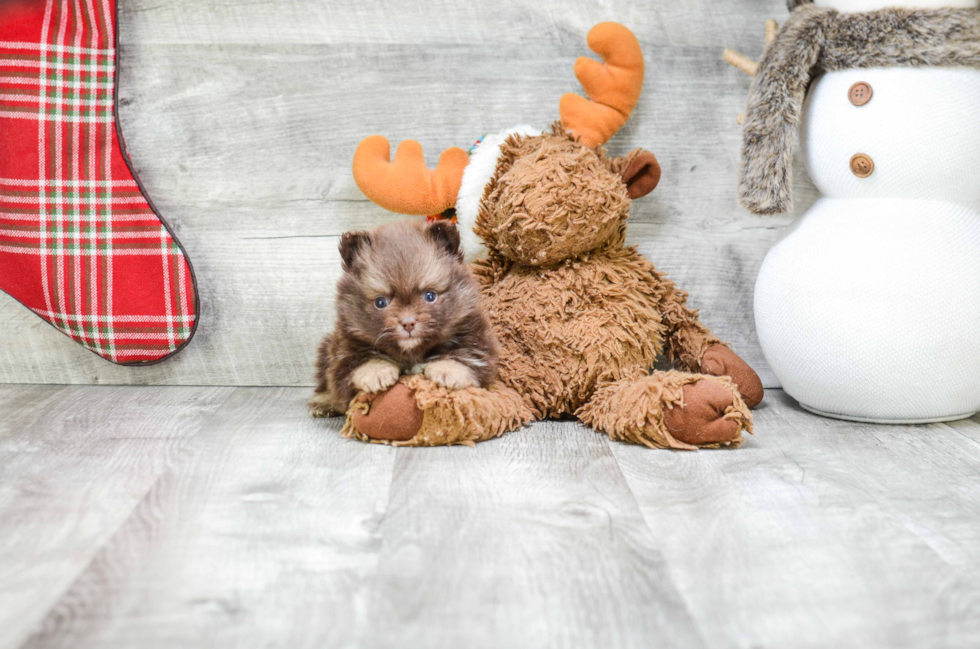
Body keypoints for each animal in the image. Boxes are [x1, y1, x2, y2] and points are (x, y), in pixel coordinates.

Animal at [310, 220, 502, 418]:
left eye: (430, 296)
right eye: (380, 302)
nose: (408, 323)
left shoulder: (477, 339)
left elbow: (466, 356)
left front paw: (447, 370)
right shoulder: (343, 353)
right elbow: (360, 363)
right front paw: (377, 372)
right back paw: (323, 403)